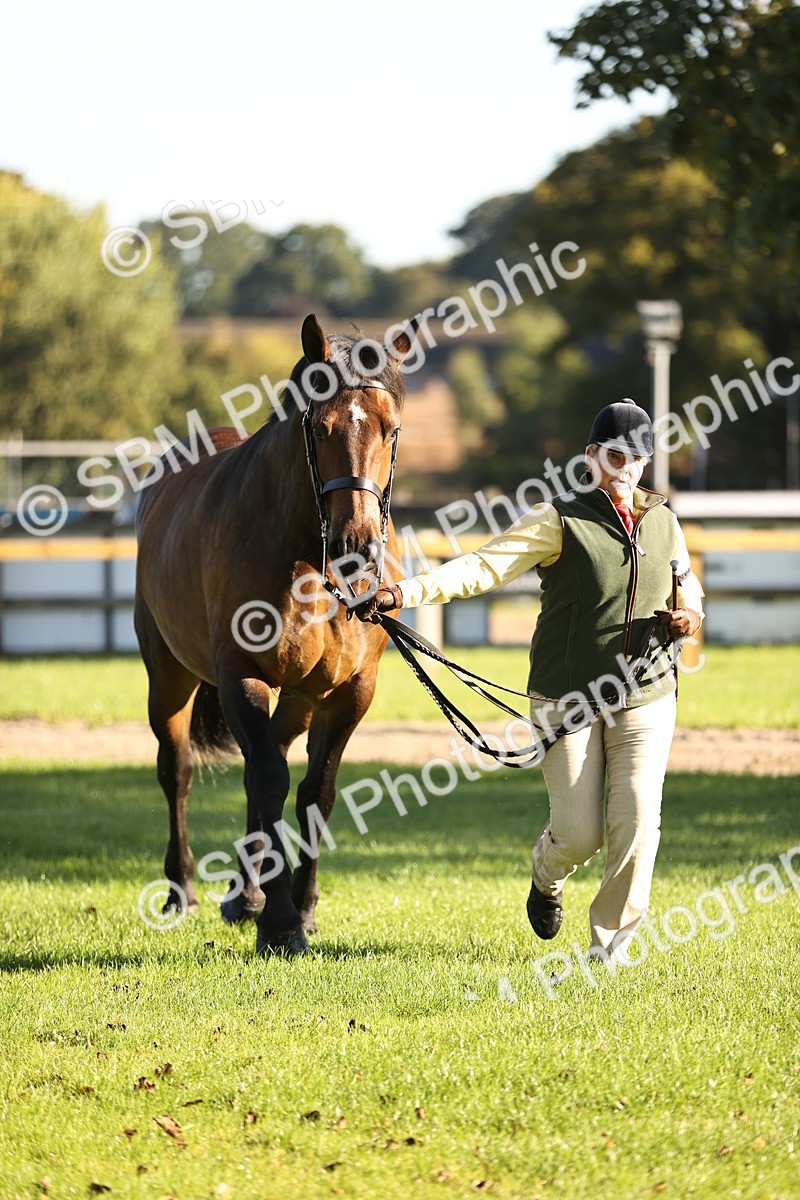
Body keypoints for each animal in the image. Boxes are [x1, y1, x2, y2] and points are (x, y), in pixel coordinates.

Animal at [134, 313, 415, 955]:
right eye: (321, 427)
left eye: (390, 429)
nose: (357, 546)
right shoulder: (243, 677)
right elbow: (269, 779)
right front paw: (282, 922)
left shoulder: (348, 691)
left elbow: (315, 791)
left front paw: (300, 908)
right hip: (168, 675)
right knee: (179, 769)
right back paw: (185, 890)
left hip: (299, 697)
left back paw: (247, 894)